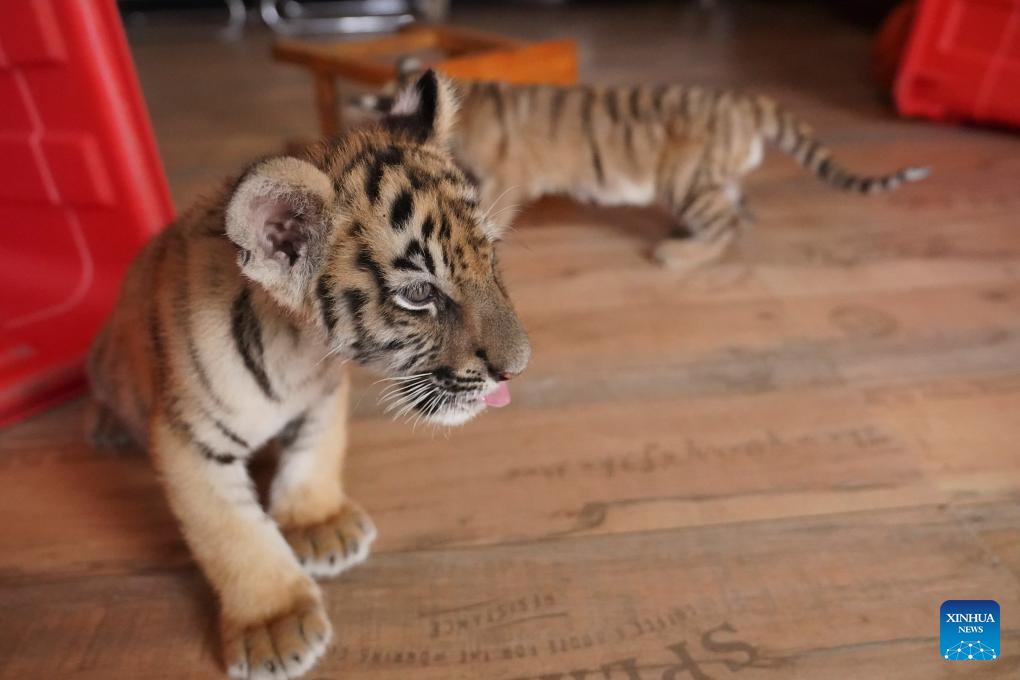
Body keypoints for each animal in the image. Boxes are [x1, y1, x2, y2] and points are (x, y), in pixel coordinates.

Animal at [86, 70, 530, 680]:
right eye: (419, 293)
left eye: (492, 256)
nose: (517, 368)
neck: (299, 347)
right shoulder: (188, 439)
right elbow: (232, 533)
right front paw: (274, 625)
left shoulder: (323, 395)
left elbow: (316, 452)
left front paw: (319, 525)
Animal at [358, 65, 929, 269]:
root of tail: (746, 103)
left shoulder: (507, 175)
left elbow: (491, 211)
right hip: (713, 177)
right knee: (739, 212)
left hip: (685, 181)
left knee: (726, 224)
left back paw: (677, 254)